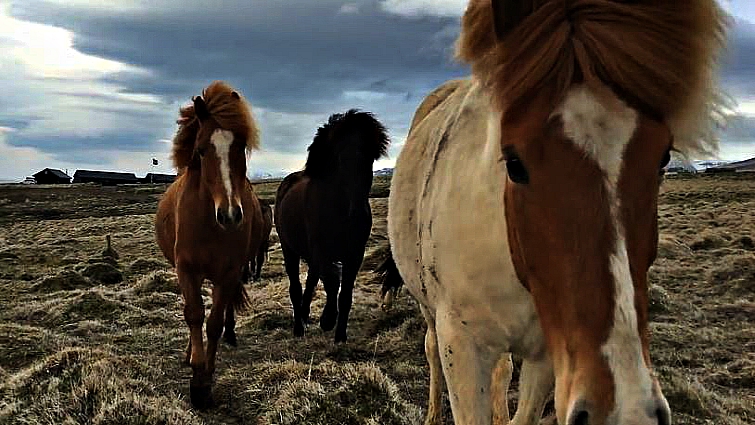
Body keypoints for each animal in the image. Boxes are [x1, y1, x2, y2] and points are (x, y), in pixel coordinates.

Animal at [155, 81, 265, 409]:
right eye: (201, 150)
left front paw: (205, 381)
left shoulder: (228, 272)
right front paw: (196, 371)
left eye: (239, 148)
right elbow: (193, 314)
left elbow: (214, 322)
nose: (230, 215)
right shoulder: (186, 269)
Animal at [275, 109, 389, 343]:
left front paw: (340, 335)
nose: (358, 214)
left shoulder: (355, 254)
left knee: (310, 280)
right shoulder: (322, 251)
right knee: (296, 286)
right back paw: (298, 327)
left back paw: (305, 315)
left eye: (369, 158)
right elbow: (332, 281)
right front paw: (327, 320)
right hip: (289, 248)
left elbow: (345, 294)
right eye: (340, 159)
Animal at [386, 1, 729, 424]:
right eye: (514, 162)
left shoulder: (550, 354)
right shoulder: (462, 346)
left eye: (663, 157)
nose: (625, 411)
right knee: (431, 348)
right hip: (429, 311)